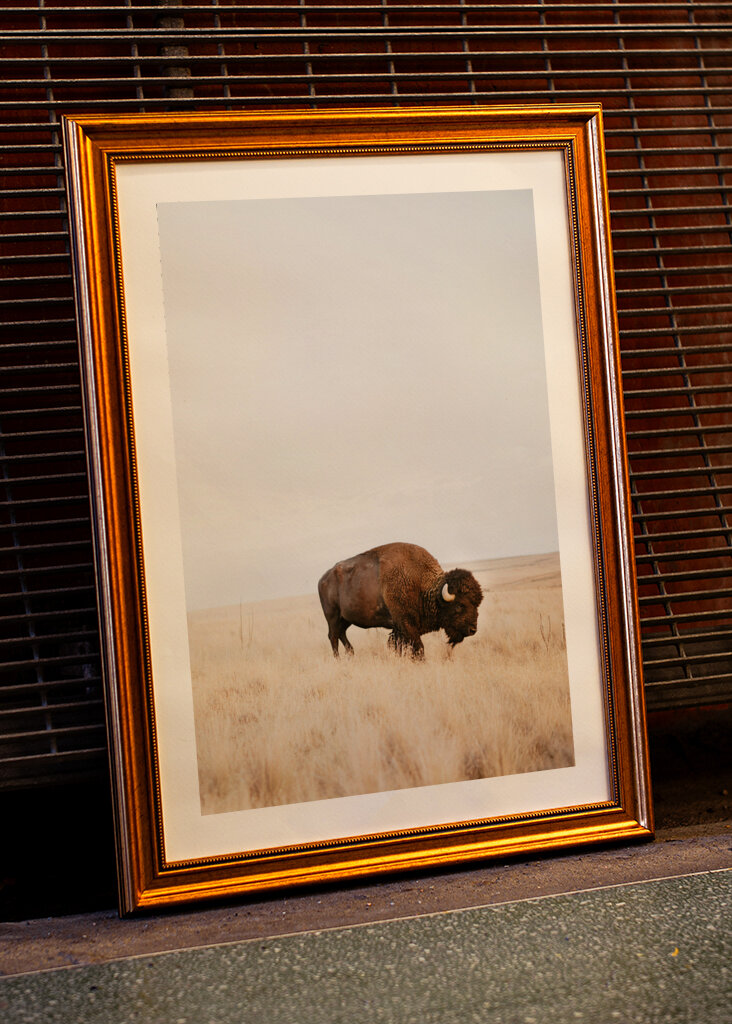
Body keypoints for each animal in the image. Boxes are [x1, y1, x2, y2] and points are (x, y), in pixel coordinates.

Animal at [318, 542, 483, 659]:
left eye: (477, 604)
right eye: (460, 605)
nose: (473, 630)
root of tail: (323, 579)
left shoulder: (399, 629)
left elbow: (398, 646)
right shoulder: (406, 624)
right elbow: (418, 648)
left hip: (345, 619)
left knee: (341, 634)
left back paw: (351, 654)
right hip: (332, 616)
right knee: (333, 637)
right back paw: (339, 659)